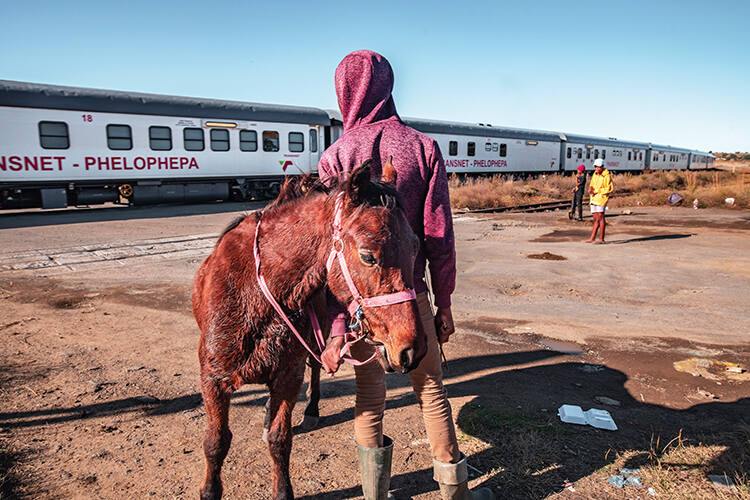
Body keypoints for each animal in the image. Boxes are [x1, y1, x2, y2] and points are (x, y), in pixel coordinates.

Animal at [192, 162, 428, 498]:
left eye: (415, 248)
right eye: (367, 255)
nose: (411, 349)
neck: (255, 291)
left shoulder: (288, 378)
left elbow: (279, 441)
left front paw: (282, 490)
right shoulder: (213, 381)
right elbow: (216, 443)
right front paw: (210, 490)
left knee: (315, 367)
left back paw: (312, 408)